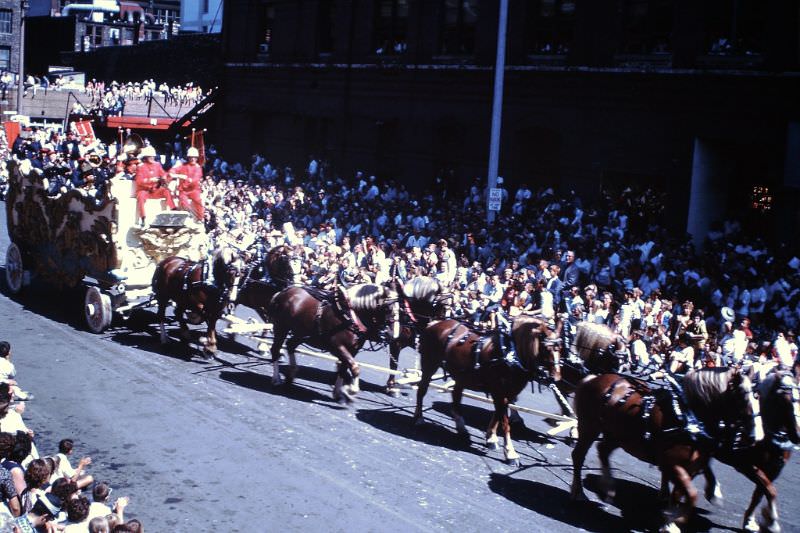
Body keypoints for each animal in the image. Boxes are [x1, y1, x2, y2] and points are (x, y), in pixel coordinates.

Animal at [268, 282, 400, 400]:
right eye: (388, 308)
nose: (391, 335)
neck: (350, 315)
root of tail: (282, 293)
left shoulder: (353, 350)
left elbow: (344, 369)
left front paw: (338, 393)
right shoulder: (337, 346)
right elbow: (354, 367)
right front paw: (352, 390)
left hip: (301, 333)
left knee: (290, 345)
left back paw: (291, 374)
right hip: (281, 327)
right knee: (275, 349)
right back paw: (276, 379)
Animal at [416, 318, 560, 464]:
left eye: (560, 349)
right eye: (547, 349)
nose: (556, 378)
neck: (511, 355)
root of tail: (435, 323)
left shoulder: (506, 394)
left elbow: (498, 414)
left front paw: (491, 438)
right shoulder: (500, 393)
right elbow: (505, 423)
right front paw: (510, 453)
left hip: (461, 376)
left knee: (456, 396)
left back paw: (461, 428)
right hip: (429, 365)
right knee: (421, 390)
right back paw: (419, 419)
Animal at [572, 370, 752, 532]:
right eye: (742, 395)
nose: (752, 435)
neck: (688, 418)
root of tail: (592, 379)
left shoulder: (690, 469)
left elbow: (681, 494)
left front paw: (670, 522)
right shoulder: (673, 464)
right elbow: (692, 494)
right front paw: (675, 519)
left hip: (618, 435)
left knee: (603, 451)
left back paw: (608, 487)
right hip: (590, 426)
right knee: (579, 456)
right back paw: (578, 493)